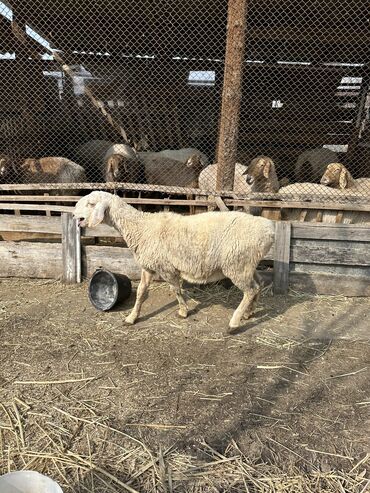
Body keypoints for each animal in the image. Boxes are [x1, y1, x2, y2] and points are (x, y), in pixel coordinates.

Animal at [73, 190, 274, 332]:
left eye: (91, 203)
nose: (75, 216)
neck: (141, 227)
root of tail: (269, 230)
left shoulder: (166, 267)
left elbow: (176, 289)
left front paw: (183, 311)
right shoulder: (148, 266)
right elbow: (141, 292)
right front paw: (131, 317)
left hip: (237, 264)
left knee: (250, 290)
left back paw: (234, 323)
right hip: (247, 264)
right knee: (259, 284)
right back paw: (249, 313)